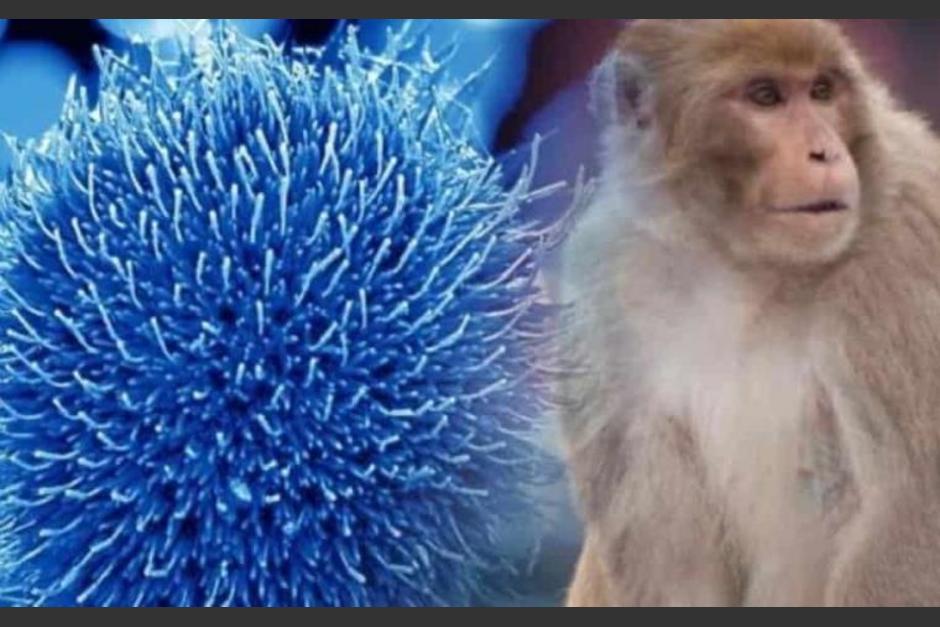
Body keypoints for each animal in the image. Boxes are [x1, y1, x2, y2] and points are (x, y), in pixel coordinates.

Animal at [557, 19, 940, 606]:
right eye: (765, 97)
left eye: (822, 91)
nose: (825, 153)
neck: (743, 264)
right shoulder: (603, 286)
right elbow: (672, 558)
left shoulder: (904, 247)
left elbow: (911, 505)